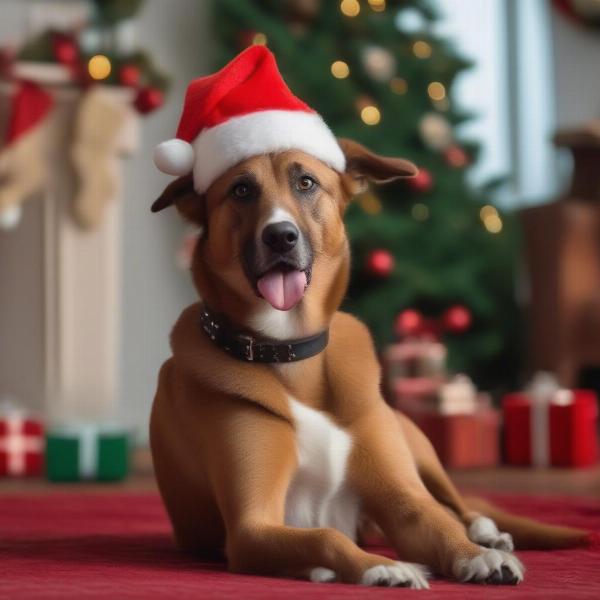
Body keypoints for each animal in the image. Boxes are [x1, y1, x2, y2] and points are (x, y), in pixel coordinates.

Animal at [148, 137, 588, 592]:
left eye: (306, 182)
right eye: (241, 190)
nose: (280, 236)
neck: (289, 350)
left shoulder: (404, 501)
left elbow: (437, 522)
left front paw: (475, 555)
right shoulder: (251, 527)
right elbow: (324, 536)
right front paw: (381, 567)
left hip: (416, 443)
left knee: (458, 506)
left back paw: (487, 533)